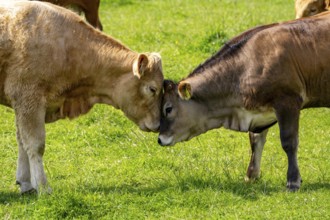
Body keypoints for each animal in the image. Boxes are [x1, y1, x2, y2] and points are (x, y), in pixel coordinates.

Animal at [0, 0, 164, 194]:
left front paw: (25, 182)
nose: (159, 124)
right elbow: (35, 145)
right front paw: (42, 186)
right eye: (152, 89)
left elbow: (21, 141)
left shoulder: (22, 105)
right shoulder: (28, 100)